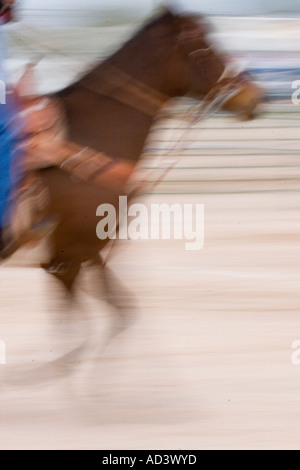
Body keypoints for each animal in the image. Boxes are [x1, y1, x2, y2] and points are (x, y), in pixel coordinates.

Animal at [2, 10, 262, 334]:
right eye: (206, 46)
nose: (255, 96)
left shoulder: (86, 254)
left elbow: (120, 314)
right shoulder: (66, 259)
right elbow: (78, 333)